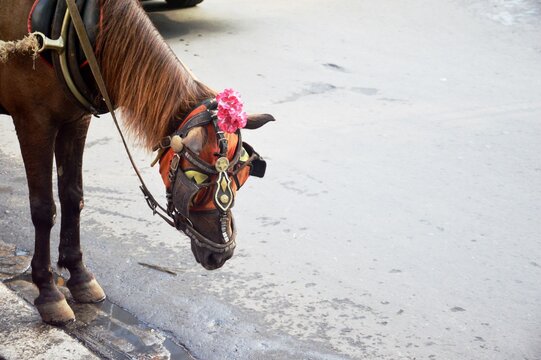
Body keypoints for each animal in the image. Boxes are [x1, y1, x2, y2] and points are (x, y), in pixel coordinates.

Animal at [0, 0, 272, 324]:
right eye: (196, 180)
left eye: (241, 179)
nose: (222, 253)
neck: (76, 26)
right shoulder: (34, 122)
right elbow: (43, 210)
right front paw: (48, 291)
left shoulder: (75, 120)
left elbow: (72, 198)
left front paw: (79, 275)